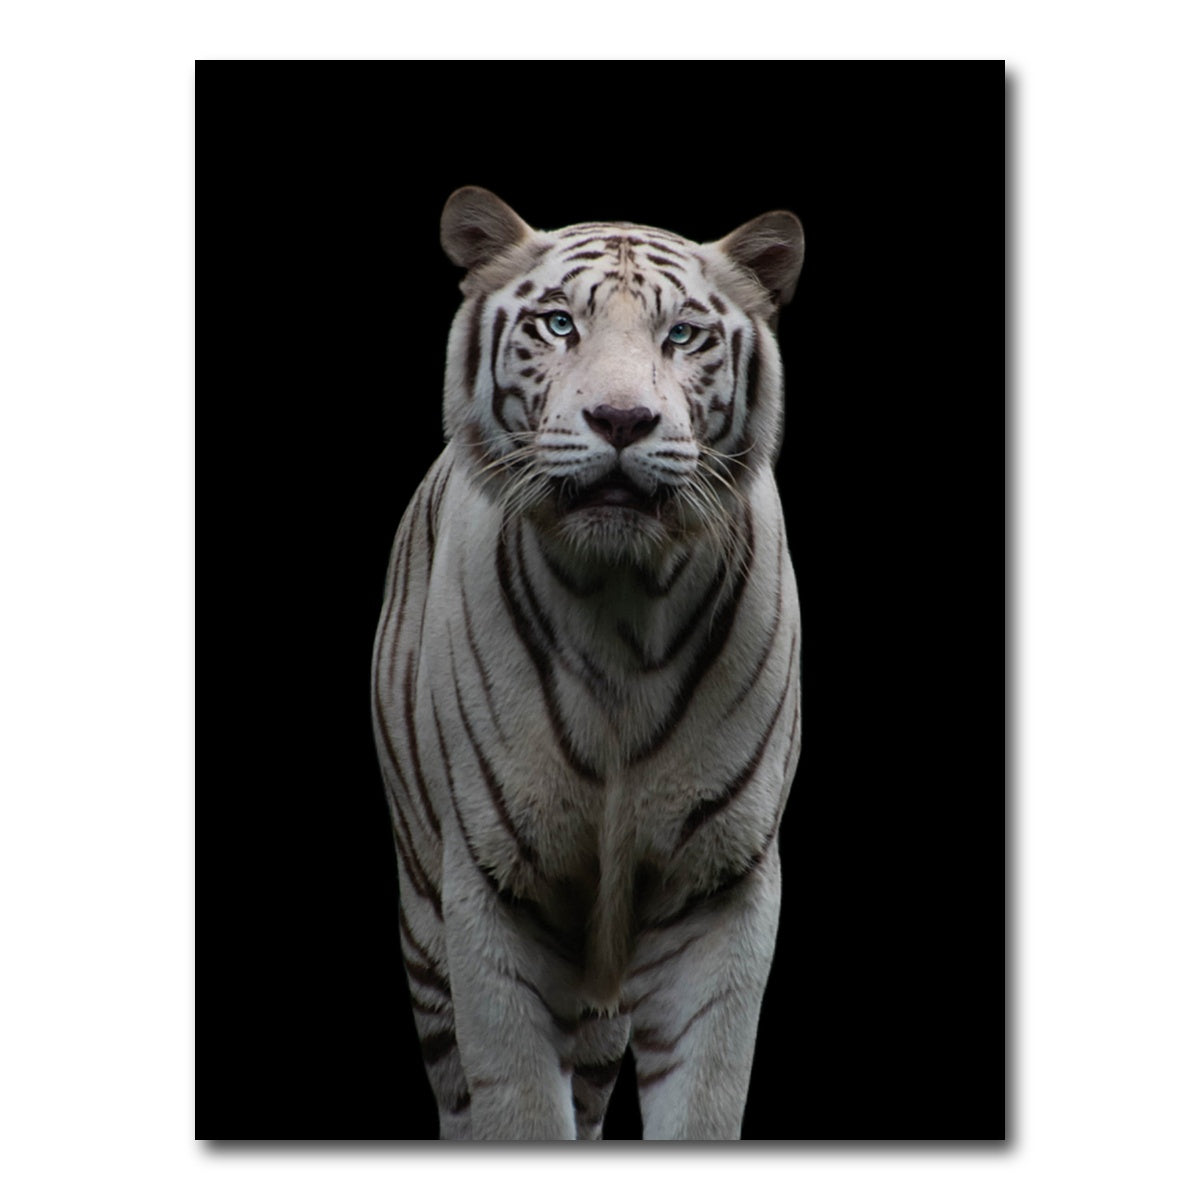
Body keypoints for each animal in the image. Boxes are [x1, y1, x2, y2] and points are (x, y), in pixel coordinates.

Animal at [371, 187, 804, 1140]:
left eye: (683, 333)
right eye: (560, 324)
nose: (621, 420)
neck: (622, 609)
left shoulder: (722, 886)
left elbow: (705, 1101)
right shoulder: (491, 888)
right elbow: (519, 1104)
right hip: (424, 924)